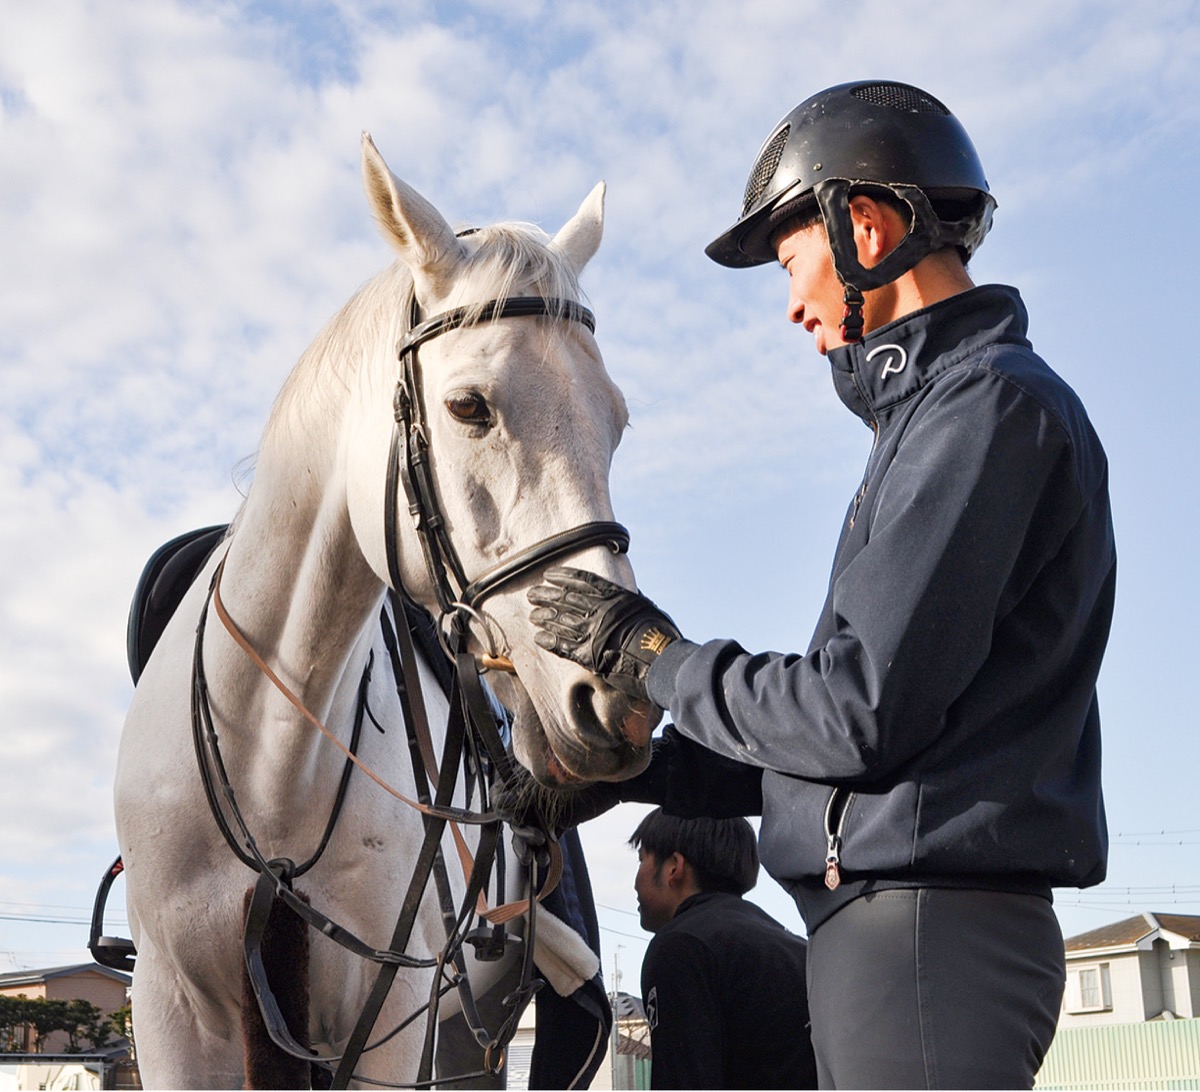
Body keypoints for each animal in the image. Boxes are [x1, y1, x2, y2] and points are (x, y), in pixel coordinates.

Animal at [113, 133, 658, 1089]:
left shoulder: (392, 1020)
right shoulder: (173, 1009)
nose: (614, 693)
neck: (268, 755)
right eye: (468, 406)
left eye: (616, 421)